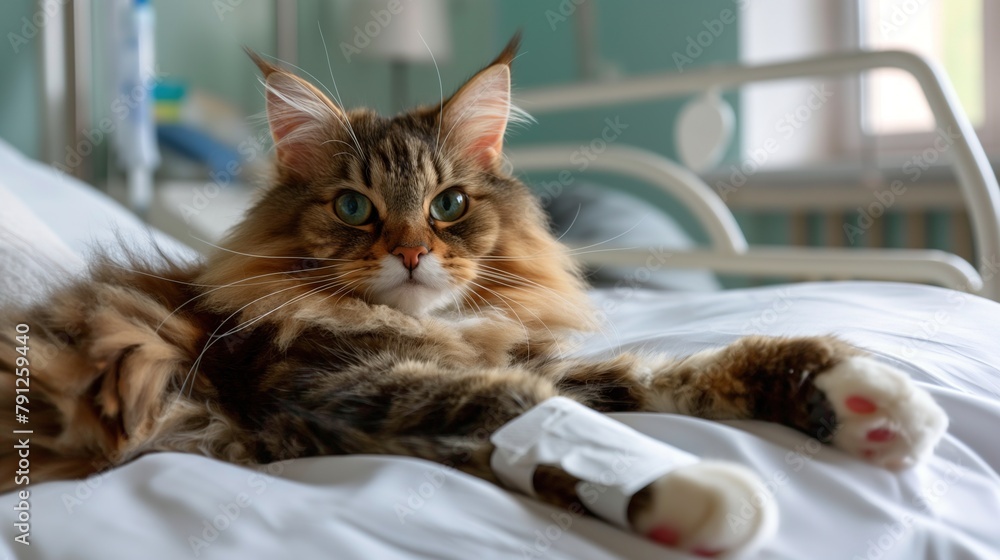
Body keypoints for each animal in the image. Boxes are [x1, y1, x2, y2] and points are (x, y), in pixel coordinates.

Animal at [0, 36, 948, 556]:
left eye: (449, 205)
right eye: (354, 207)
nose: (415, 252)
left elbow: (664, 376)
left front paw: (864, 396)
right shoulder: (337, 398)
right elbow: (523, 413)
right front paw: (699, 494)